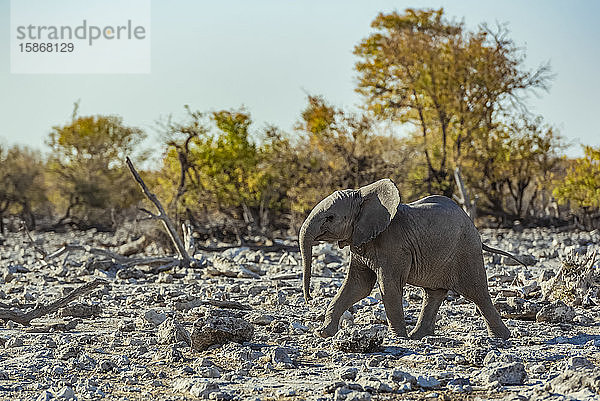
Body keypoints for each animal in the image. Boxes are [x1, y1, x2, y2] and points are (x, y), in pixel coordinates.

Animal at [300, 180, 516, 340]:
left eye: (330, 217)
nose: (309, 298)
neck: (362, 194)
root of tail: (475, 228)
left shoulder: (394, 247)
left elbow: (387, 286)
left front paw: (397, 338)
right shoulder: (360, 241)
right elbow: (357, 286)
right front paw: (322, 333)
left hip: (466, 250)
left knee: (477, 292)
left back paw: (502, 337)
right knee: (433, 294)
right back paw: (418, 336)